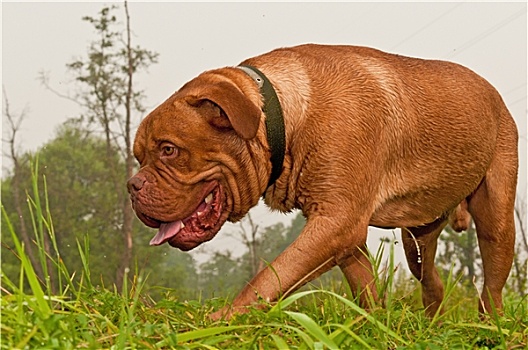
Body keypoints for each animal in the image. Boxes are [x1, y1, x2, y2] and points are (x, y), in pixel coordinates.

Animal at [127, 43, 516, 318]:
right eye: (138, 157)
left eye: (168, 150)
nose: (132, 186)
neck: (283, 116)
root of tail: (495, 94)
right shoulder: (343, 232)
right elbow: (364, 287)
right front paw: (370, 326)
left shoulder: (336, 221)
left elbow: (270, 276)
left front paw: (223, 320)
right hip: (417, 235)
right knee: (430, 277)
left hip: (496, 217)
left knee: (492, 283)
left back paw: (490, 326)